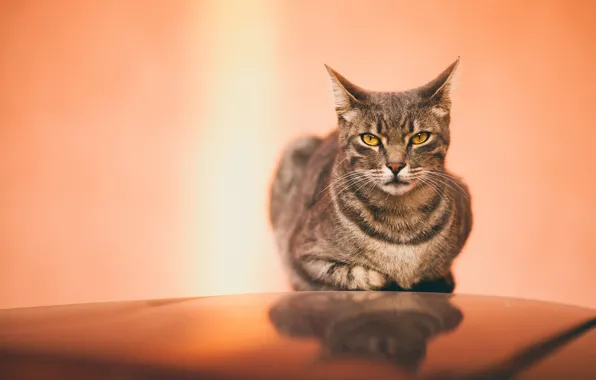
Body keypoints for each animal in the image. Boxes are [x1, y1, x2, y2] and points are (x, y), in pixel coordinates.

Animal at [268, 58, 470, 290]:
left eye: (420, 137)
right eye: (370, 139)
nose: (395, 165)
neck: (401, 220)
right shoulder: (302, 255)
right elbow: (356, 275)